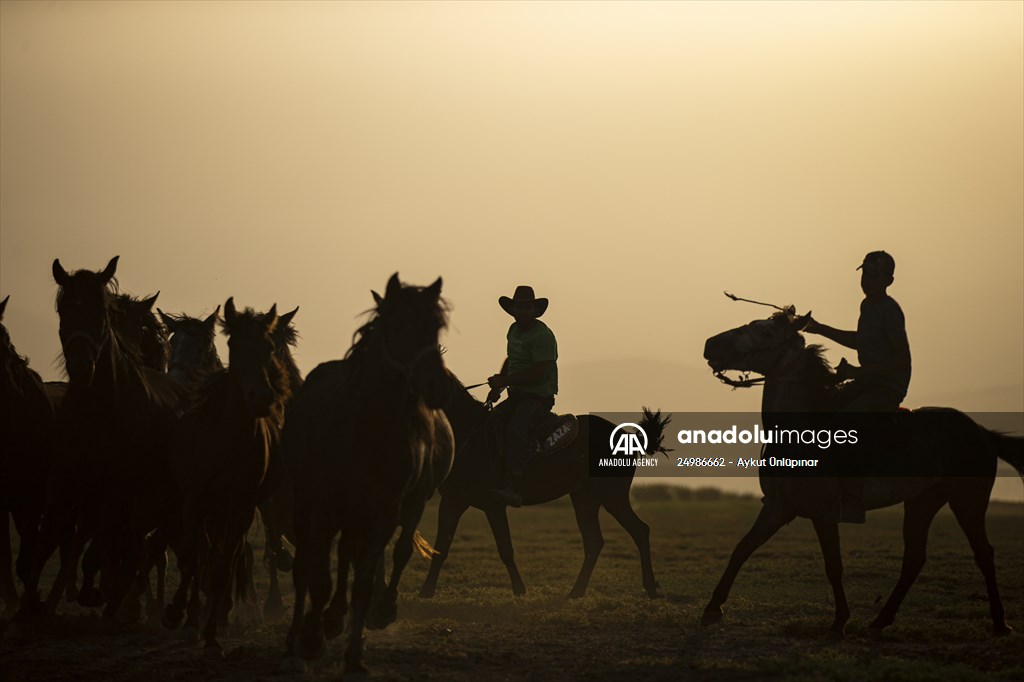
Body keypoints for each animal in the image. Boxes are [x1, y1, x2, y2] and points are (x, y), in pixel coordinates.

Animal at [162, 298, 293, 654]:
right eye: (171, 343)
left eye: (204, 347)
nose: (262, 395)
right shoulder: (195, 501)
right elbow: (194, 557)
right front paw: (182, 617)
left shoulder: (241, 507)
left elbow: (223, 565)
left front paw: (211, 632)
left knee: (230, 556)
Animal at [282, 273, 454, 675]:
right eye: (397, 325)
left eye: (436, 327)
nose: (437, 387)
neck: (368, 425)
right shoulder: (325, 505)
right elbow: (320, 576)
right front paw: (312, 638)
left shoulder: (383, 510)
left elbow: (364, 575)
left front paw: (355, 652)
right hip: (308, 504)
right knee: (306, 565)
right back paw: (300, 635)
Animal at [418, 373, 670, 600]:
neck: (470, 435)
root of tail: (629, 436)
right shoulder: (452, 501)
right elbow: (441, 547)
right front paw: (426, 591)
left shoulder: (494, 505)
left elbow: (505, 549)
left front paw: (519, 589)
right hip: (584, 498)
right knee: (594, 542)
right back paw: (576, 592)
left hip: (612, 496)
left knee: (639, 531)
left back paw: (650, 588)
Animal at [700, 308, 1024, 637]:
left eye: (766, 333)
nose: (711, 344)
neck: (803, 432)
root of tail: (982, 432)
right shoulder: (778, 507)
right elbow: (742, 549)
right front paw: (712, 609)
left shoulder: (823, 512)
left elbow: (833, 565)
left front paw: (839, 621)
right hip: (922, 501)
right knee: (914, 558)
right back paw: (881, 620)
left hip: (968, 500)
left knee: (983, 552)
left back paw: (1000, 623)